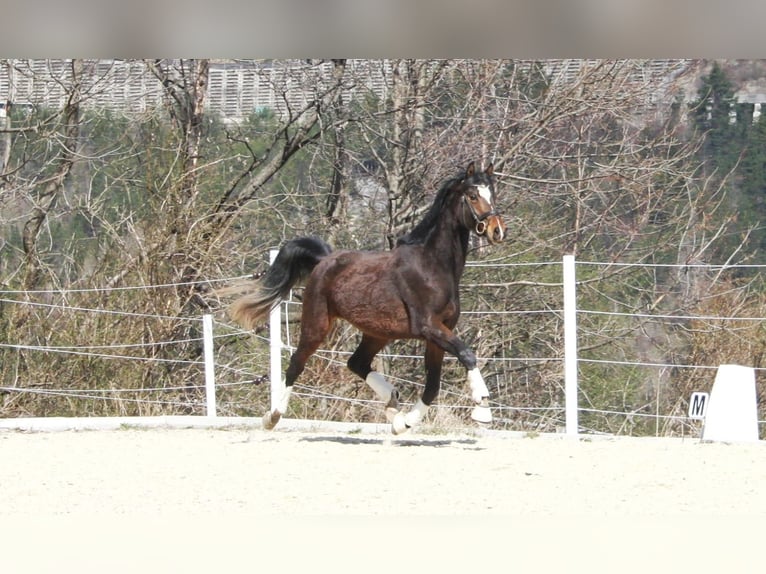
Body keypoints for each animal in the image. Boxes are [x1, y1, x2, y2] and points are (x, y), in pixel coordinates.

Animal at [234, 160, 510, 434]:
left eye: (493, 194)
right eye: (473, 196)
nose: (497, 231)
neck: (432, 266)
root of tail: (324, 260)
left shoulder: (440, 332)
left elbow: (433, 385)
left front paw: (404, 423)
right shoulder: (428, 327)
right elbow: (466, 354)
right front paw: (482, 407)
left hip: (377, 332)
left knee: (356, 363)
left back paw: (392, 404)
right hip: (317, 324)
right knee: (296, 363)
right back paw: (272, 417)